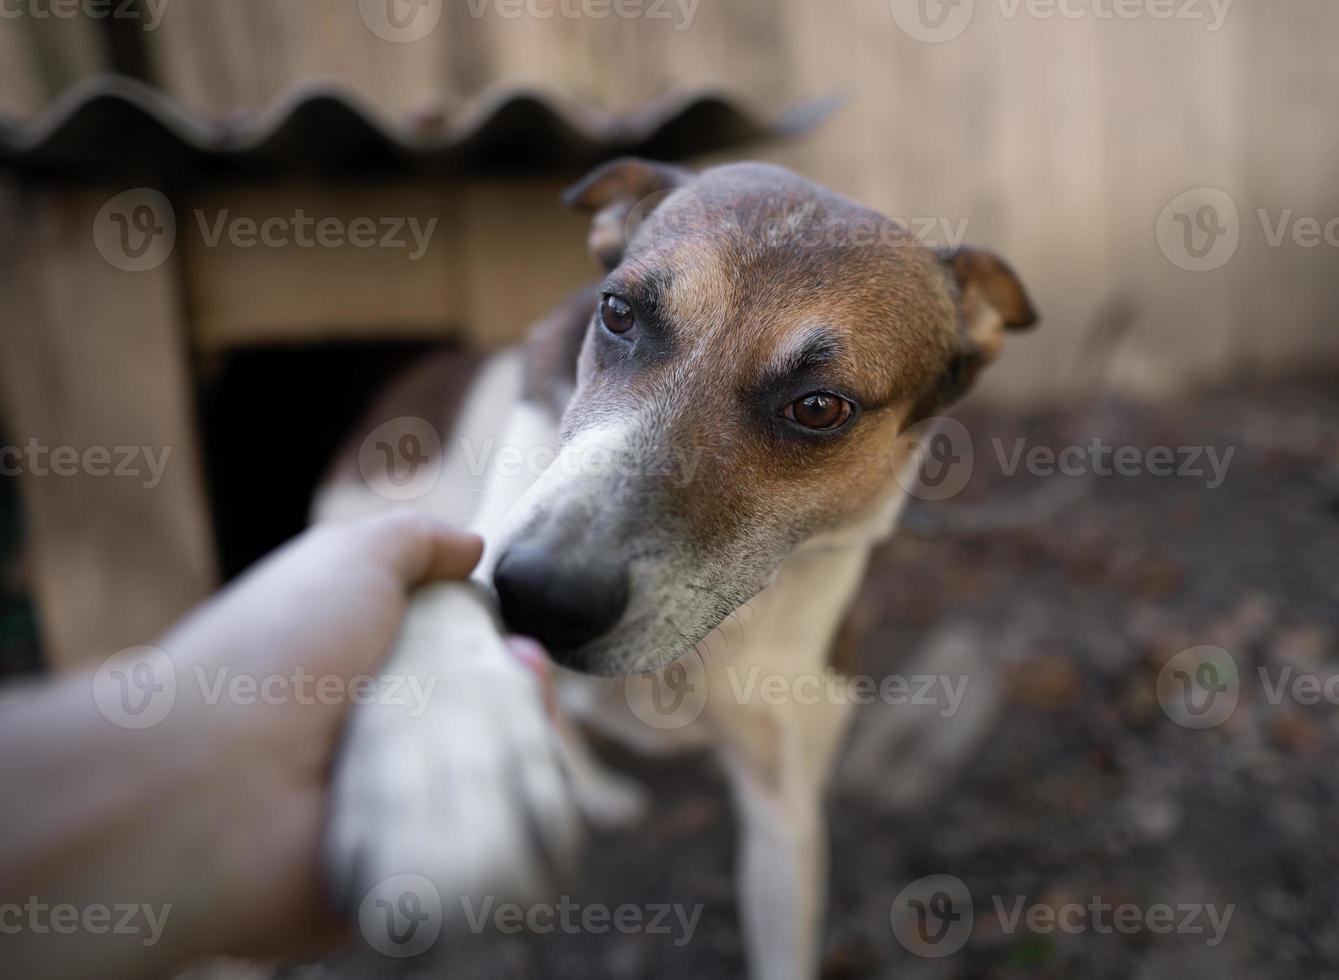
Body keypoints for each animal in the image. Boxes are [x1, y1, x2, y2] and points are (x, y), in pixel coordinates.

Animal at [313, 158, 1033, 980]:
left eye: (820, 407)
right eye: (618, 313)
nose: (541, 596)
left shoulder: (783, 806)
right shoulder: (492, 536)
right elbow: (441, 589)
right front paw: (443, 754)